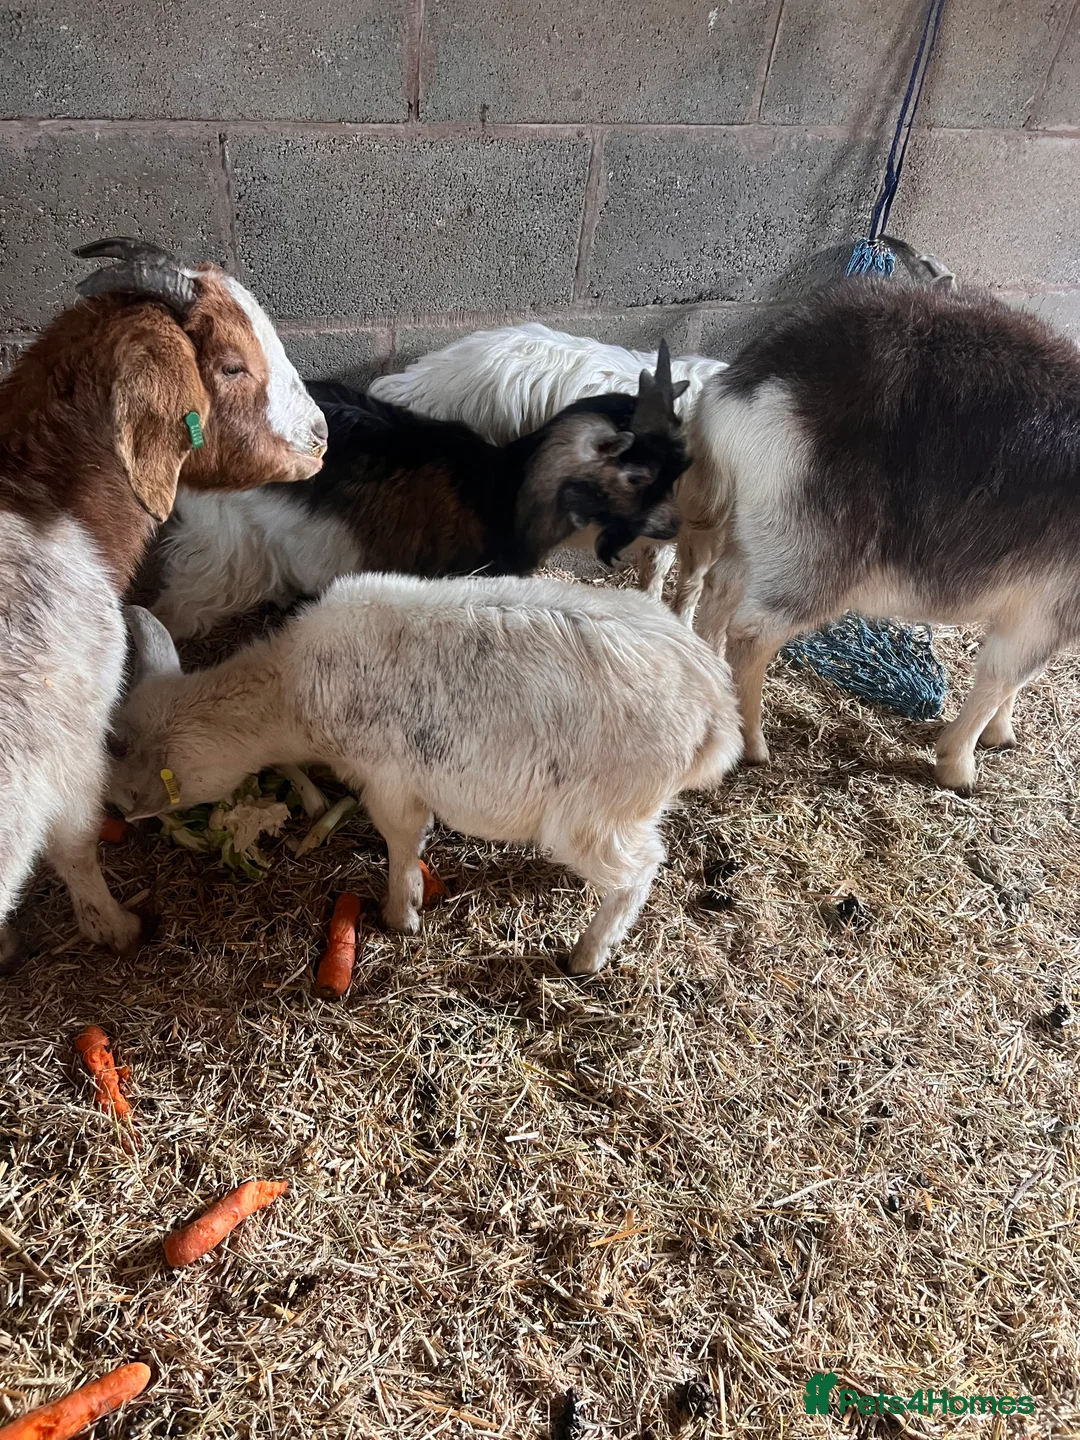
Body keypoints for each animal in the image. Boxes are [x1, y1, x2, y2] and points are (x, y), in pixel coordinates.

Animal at [0, 237, 326, 963]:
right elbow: (76, 843)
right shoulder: (72, 736)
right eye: (232, 364)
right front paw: (115, 928)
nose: (321, 435)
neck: (49, 506)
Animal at [111, 576, 742, 974]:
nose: (118, 807)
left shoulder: (390, 780)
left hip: (596, 811)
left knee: (640, 868)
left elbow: (400, 840)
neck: (288, 691)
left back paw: (588, 954)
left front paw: (400, 913)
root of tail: (717, 706)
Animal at [151, 345, 690, 641]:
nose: (674, 526)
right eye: (638, 476)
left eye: (679, 466)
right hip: (224, 544)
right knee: (186, 598)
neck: (500, 491)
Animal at [674, 274, 1080, 794]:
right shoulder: (1049, 607)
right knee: (752, 631)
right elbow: (1002, 675)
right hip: (811, 552)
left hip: (758, 534)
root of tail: (757, 379)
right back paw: (752, 744)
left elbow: (1014, 678)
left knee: (720, 592)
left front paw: (1000, 733)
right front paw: (958, 765)